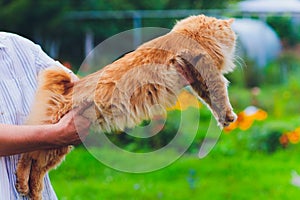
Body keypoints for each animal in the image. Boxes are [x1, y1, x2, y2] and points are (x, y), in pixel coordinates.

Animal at [15, 14, 237, 200]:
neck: (191, 34)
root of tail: (68, 88)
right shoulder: (206, 69)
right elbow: (219, 93)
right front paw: (228, 116)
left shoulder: (198, 78)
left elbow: (210, 98)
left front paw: (224, 119)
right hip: (53, 141)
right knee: (27, 158)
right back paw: (23, 186)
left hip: (56, 147)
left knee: (36, 167)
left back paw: (31, 191)